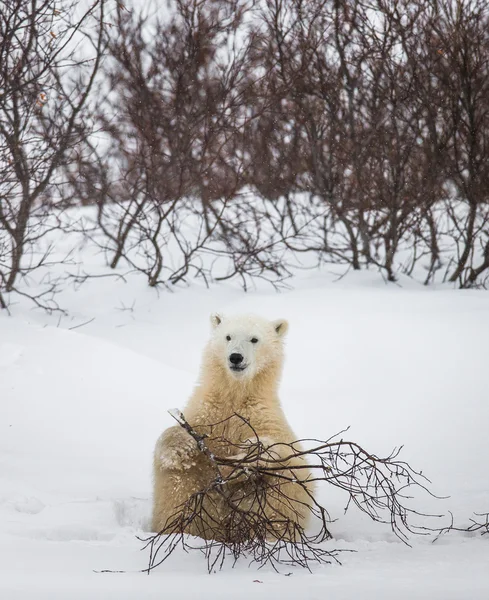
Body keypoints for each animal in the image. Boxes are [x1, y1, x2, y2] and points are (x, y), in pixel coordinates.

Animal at [152, 316, 312, 540]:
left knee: (278, 494)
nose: (236, 357)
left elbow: (287, 455)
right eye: (228, 336)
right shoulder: (205, 414)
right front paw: (182, 448)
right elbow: (175, 442)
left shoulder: (263, 417)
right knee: (178, 490)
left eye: (254, 339)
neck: (235, 396)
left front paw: (247, 454)